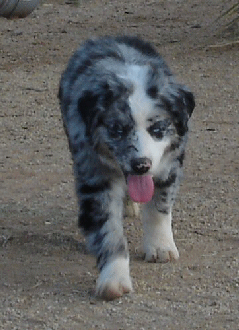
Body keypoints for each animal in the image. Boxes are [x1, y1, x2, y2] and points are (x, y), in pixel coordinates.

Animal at [58, 35, 195, 300]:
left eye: (157, 129)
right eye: (117, 130)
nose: (140, 165)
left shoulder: (169, 164)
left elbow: (159, 206)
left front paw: (160, 246)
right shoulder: (95, 178)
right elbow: (109, 230)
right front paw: (114, 278)